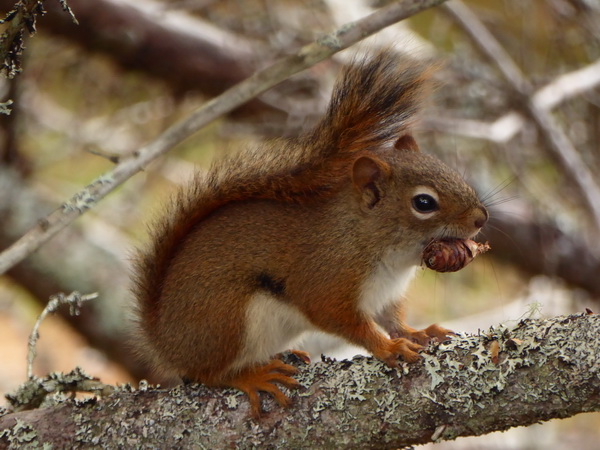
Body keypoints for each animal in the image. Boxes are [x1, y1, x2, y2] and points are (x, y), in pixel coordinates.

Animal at [131, 51, 488, 416]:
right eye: (424, 202)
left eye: (448, 169)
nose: (481, 218)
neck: (379, 245)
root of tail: (165, 344)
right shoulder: (327, 280)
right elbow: (343, 320)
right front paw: (388, 348)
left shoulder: (385, 296)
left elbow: (394, 321)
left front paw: (420, 332)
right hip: (226, 321)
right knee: (210, 373)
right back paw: (252, 377)